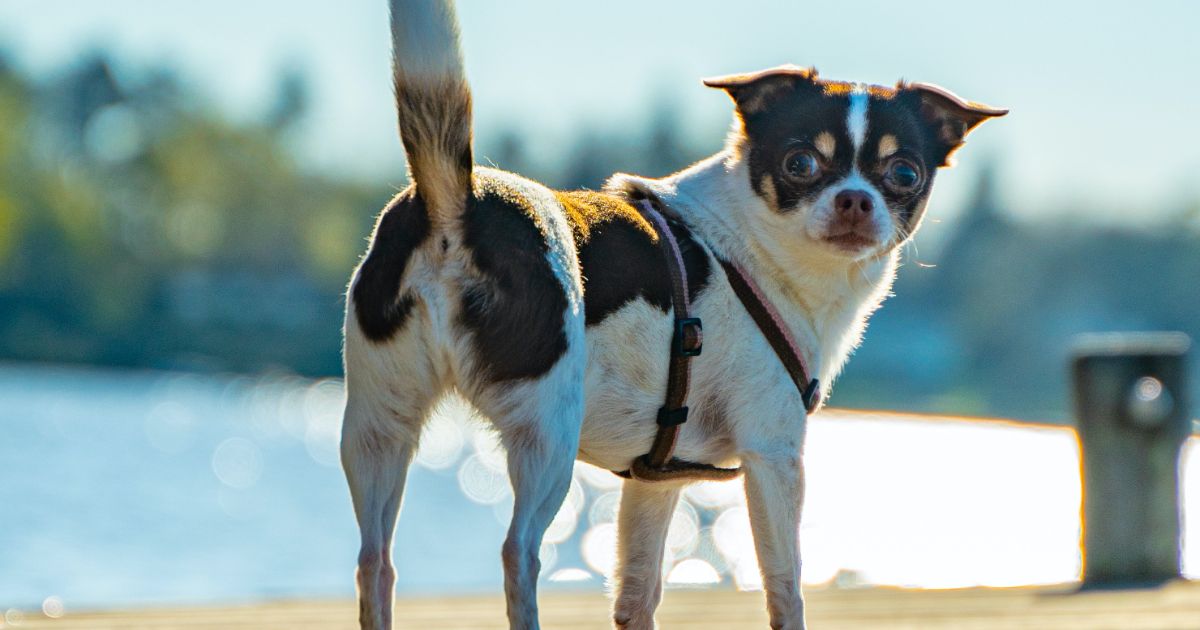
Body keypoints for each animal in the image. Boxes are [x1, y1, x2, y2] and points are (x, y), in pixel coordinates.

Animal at [338, 2, 1003, 624]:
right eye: (800, 164)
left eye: (905, 173)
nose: (855, 201)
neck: (753, 245)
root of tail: (458, 202)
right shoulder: (775, 456)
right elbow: (785, 588)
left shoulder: (660, 477)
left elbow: (638, 596)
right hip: (546, 434)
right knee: (517, 553)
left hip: (379, 426)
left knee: (375, 560)